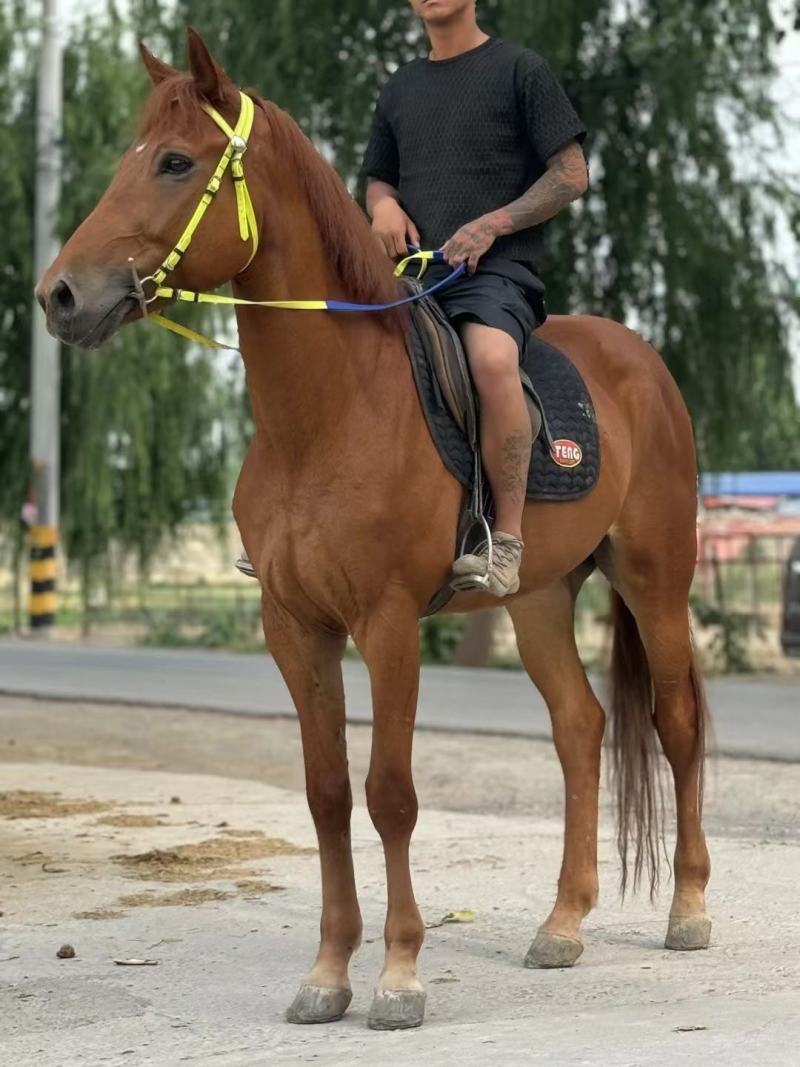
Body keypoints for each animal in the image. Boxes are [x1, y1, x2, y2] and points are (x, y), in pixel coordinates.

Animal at [36, 29, 711, 1031]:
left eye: (174, 162)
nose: (61, 296)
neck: (329, 413)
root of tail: (644, 363)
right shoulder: (294, 626)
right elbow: (325, 795)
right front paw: (327, 972)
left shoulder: (388, 623)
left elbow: (390, 795)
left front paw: (398, 976)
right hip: (541, 599)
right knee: (580, 728)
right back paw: (563, 922)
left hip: (657, 582)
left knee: (676, 725)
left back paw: (690, 909)